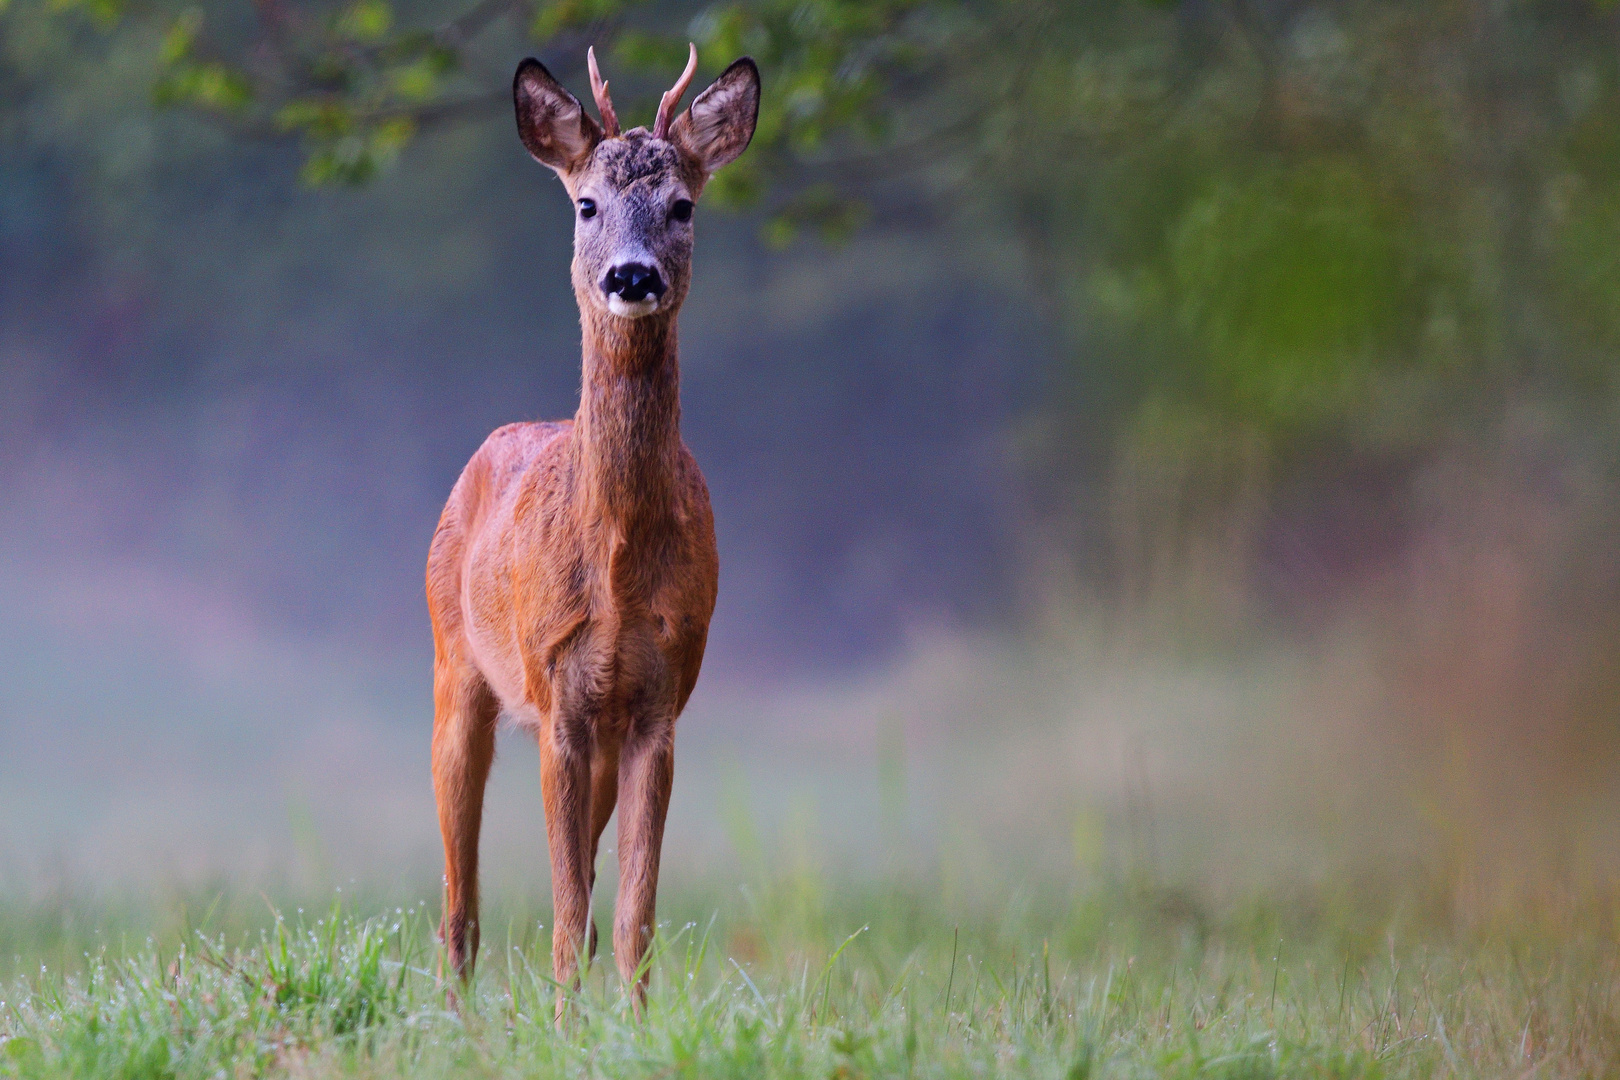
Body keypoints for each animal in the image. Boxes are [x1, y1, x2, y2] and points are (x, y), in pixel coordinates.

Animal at [427, 44, 761, 1016]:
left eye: (683, 203)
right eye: (585, 203)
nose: (632, 276)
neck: (614, 567)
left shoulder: (659, 701)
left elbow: (632, 914)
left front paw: (634, 1027)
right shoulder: (557, 695)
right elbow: (568, 910)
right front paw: (568, 1024)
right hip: (458, 669)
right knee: (458, 901)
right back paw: (456, 1018)